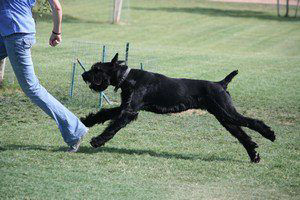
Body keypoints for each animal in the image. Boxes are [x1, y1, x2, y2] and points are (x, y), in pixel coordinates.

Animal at [81, 53, 276, 162]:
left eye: (97, 69)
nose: (84, 75)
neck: (128, 77)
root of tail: (220, 83)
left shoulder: (129, 111)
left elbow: (112, 126)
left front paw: (97, 141)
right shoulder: (124, 107)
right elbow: (104, 114)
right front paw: (86, 120)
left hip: (228, 112)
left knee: (252, 122)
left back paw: (269, 134)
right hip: (225, 118)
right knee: (242, 134)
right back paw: (254, 155)